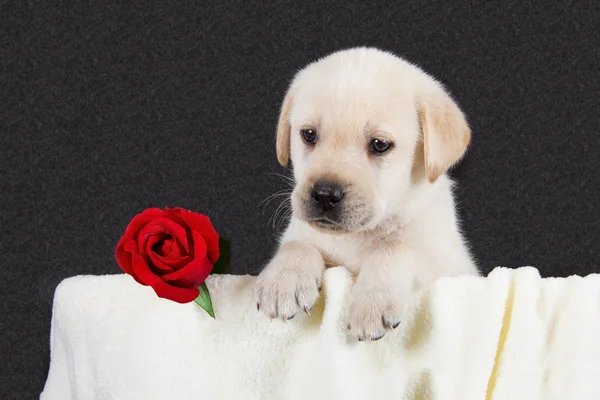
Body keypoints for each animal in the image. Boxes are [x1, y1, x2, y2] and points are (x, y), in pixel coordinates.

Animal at [253, 47, 478, 340]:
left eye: (380, 145)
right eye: (309, 135)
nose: (324, 195)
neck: (355, 238)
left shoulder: (448, 265)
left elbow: (395, 247)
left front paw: (373, 303)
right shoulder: (304, 235)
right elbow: (298, 244)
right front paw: (283, 279)